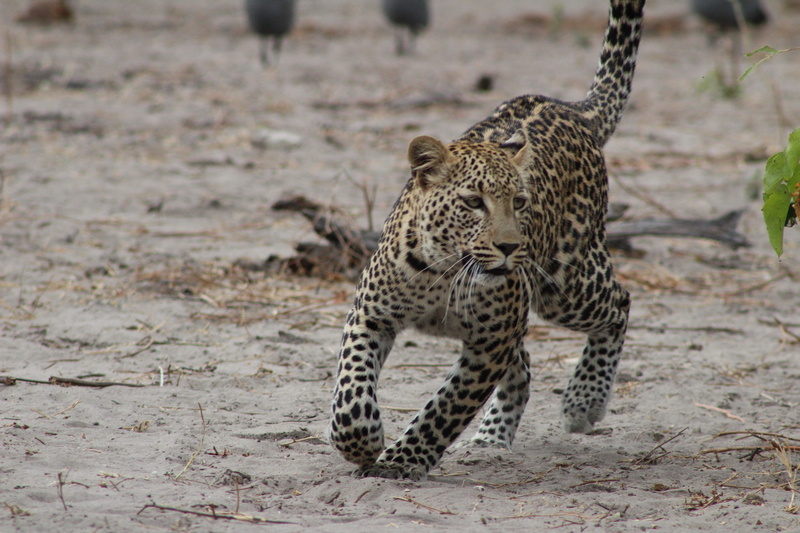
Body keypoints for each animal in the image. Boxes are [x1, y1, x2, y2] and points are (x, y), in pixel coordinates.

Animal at [328, 0, 645, 481]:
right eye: (474, 202)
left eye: (519, 202)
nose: (510, 247)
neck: (442, 273)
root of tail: (573, 109)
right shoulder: (371, 314)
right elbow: (350, 390)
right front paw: (362, 441)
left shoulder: (491, 343)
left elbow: (446, 407)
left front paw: (401, 461)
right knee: (526, 363)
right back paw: (491, 440)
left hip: (565, 284)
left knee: (619, 303)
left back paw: (583, 400)